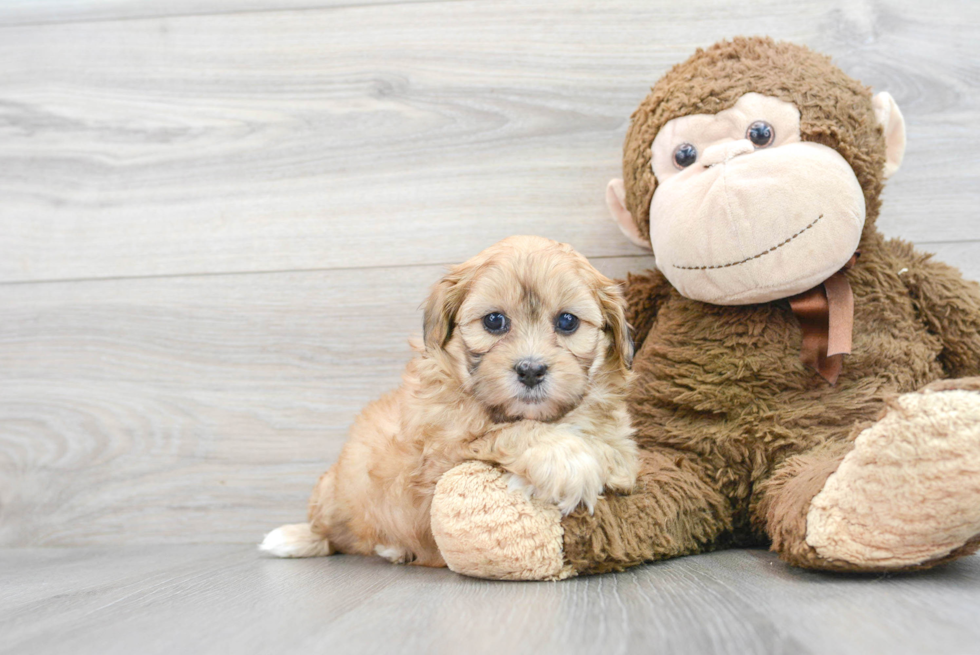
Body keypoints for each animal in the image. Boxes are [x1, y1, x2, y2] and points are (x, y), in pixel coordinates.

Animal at [260, 237, 640, 568]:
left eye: (567, 321)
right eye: (494, 321)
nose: (531, 370)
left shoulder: (621, 447)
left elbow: (611, 457)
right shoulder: (435, 463)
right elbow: (503, 434)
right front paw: (565, 460)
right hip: (333, 493)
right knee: (330, 533)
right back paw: (298, 538)